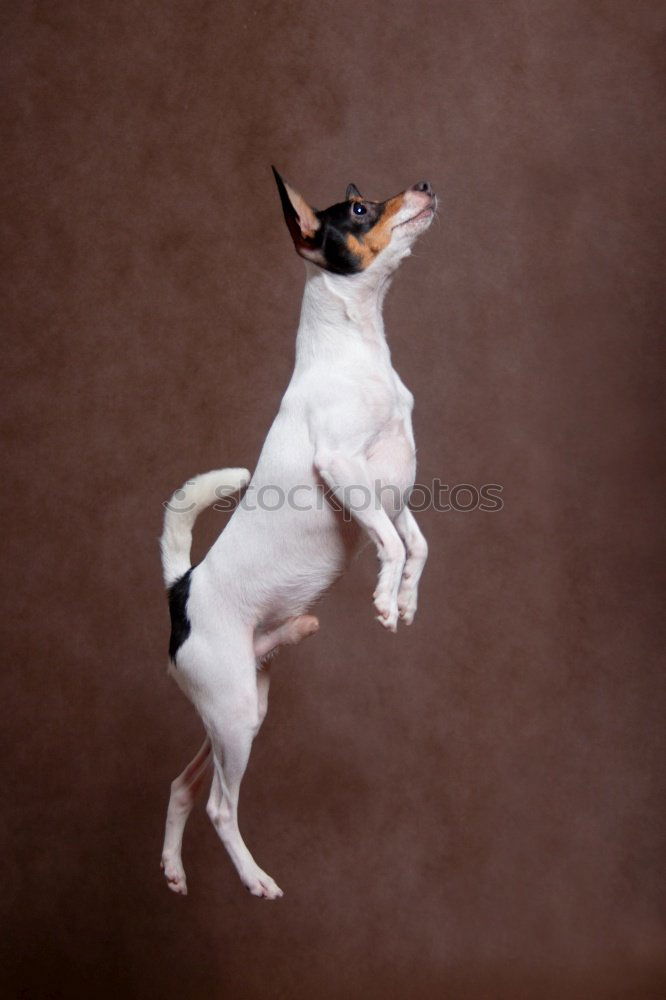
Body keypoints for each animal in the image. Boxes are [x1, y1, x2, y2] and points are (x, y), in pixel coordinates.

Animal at [158, 172, 434, 900]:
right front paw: (385, 600)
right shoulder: (345, 473)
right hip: (231, 717)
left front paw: (408, 601)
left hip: (240, 708)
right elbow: (393, 545)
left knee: (181, 786)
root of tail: (180, 590)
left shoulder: (394, 490)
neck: (359, 353)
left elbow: (418, 546)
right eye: (361, 208)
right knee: (220, 806)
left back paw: (172, 868)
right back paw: (255, 878)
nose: (424, 185)